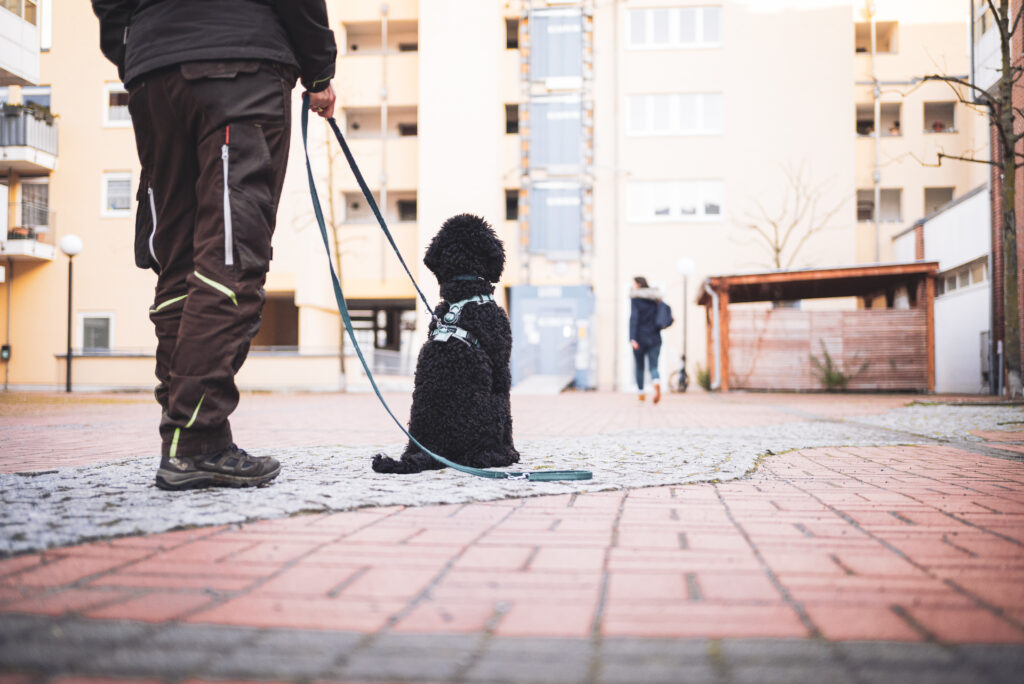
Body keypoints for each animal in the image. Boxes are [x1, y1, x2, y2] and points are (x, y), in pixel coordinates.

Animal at [372, 214, 520, 475]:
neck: (463, 295)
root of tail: (435, 451)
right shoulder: (502, 370)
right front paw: (513, 451)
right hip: (493, 408)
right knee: (481, 457)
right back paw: (502, 456)